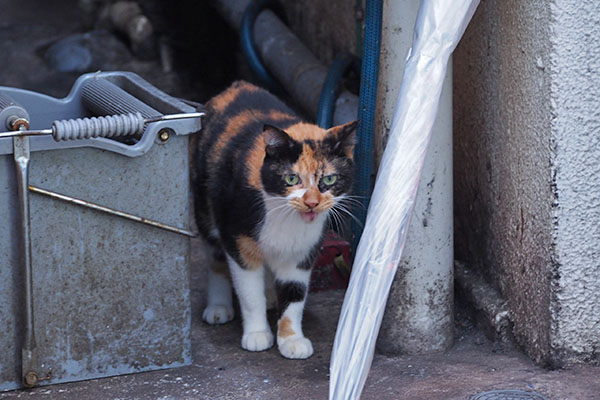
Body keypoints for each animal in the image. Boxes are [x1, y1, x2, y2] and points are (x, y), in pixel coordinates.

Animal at [192, 81, 356, 360]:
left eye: (329, 179)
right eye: (291, 179)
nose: (312, 202)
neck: (285, 217)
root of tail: (236, 85)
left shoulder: (303, 253)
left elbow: (294, 297)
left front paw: (292, 340)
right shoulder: (239, 243)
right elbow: (250, 295)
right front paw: (257, 334)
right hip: (205, 207)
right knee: (215, 257)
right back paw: (219, 307)